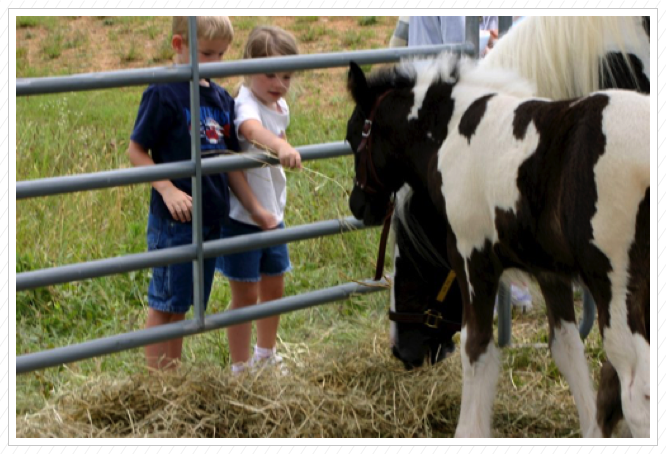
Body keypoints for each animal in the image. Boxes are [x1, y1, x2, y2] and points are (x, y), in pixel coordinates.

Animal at [344, 54, 644, 440]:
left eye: (353, 135)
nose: (358, 205)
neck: (453, 133)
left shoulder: (473, 261)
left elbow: (477, 348)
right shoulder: (549, 271)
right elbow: (567, 348)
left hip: (617, 290)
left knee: (634, 389)